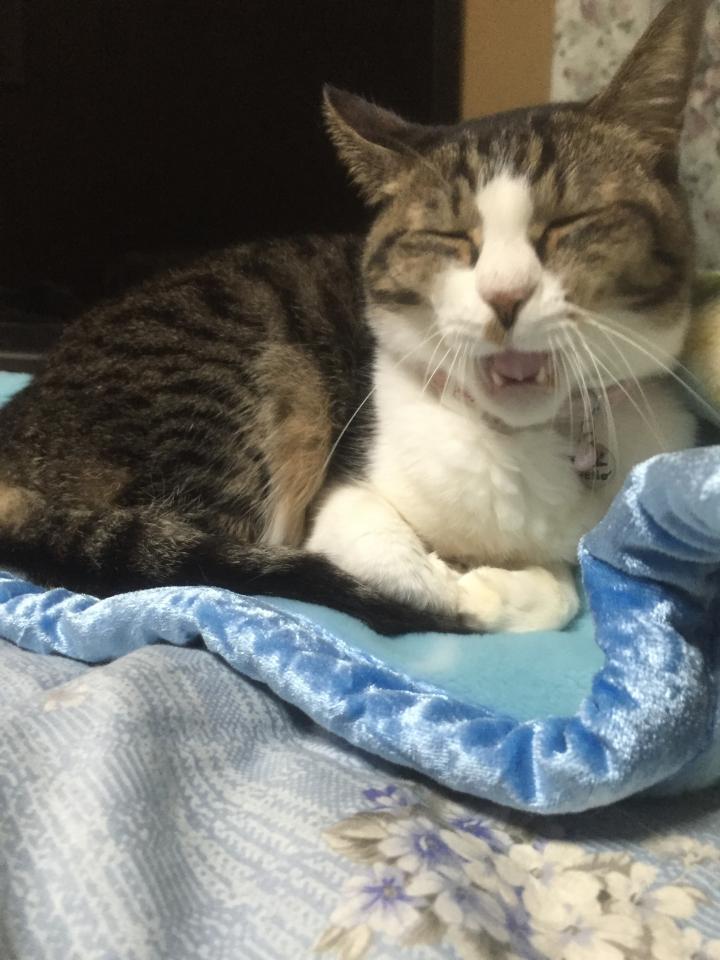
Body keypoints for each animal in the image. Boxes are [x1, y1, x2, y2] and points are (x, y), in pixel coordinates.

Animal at [0, 0, 705, 635]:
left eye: (569, 224)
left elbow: (566, 587)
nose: (506, 296)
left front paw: (511, 582)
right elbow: (392, 566)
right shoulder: (344, 496)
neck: (520, 441)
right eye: (450, 237)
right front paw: (469, 590)